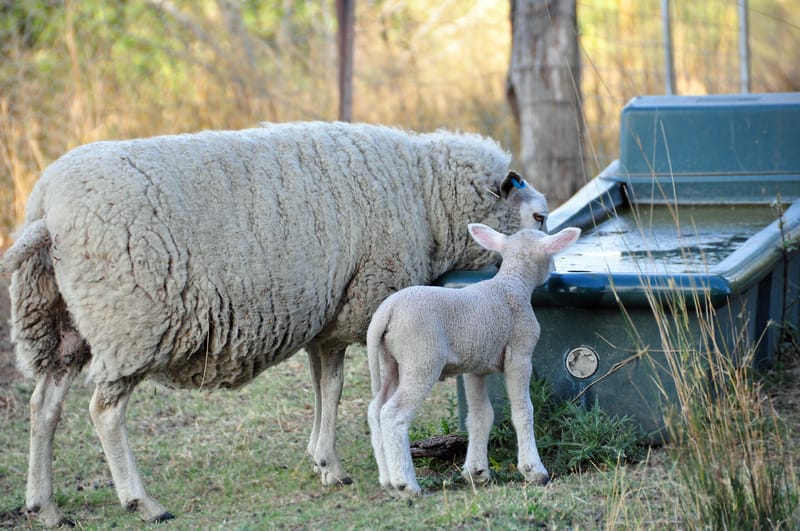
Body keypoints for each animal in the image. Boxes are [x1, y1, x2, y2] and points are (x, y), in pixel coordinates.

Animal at [0, 121, 549, 527]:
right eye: (539, 218)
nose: (547, 264)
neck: (427, 195)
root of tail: (47, 212)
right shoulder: (356, 303)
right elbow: (337, 388)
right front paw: (339, 465)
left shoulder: (328, 316)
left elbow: (326, 387)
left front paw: (323, 461)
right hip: (130, 325)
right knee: (104, 412)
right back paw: (143, 503)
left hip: (58, 322)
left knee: (44, 407)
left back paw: (44, 506)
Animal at [366, 223, 581, 498]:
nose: (554, 271)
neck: (511, 284)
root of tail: (387, 312)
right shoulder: (520, 354)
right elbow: (523, 410)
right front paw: (533, 470)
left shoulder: (475, 366)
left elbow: (480, 415)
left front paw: (476, 472)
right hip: (421, 359)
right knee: (393, 414)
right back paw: (406, 483)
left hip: (388, 360)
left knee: (375, 410)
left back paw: (388, 482)